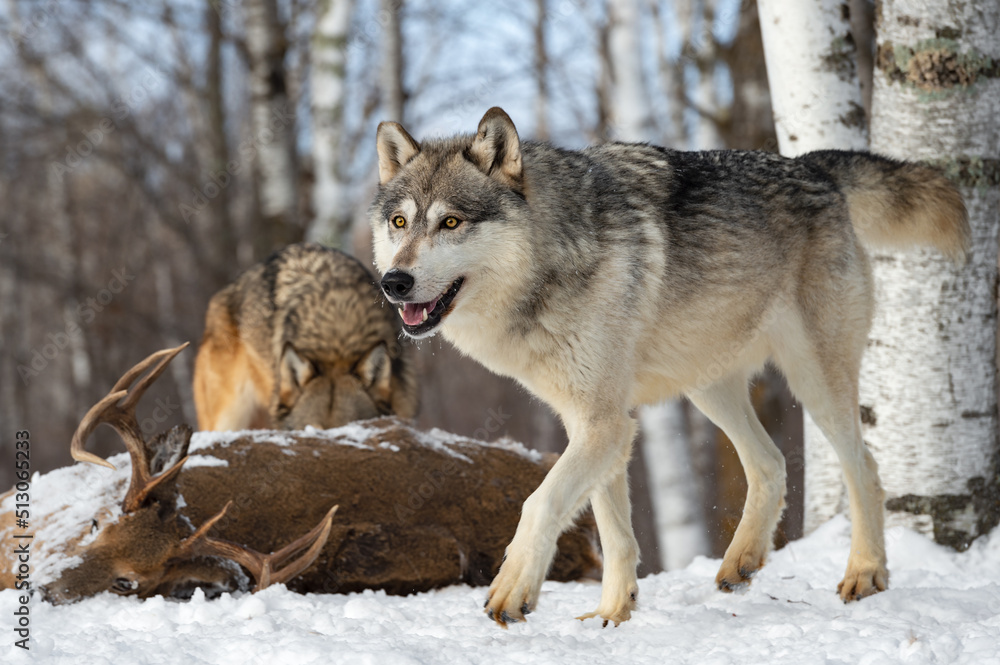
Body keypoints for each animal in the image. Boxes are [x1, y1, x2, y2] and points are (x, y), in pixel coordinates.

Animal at [368, 108, 969, 627]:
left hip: (815, 382)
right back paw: (740, 563)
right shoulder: (597, 425)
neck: (553, 260)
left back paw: (865, 574)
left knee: (865, 467)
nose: (393, 282)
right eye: (400, 222)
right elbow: (615, 532)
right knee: (771, 463)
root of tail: (812, 166)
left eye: (450, 222)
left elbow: (540, 502)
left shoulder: (605, 424)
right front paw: (612, 615)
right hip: (709, 389)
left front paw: (514, 589)